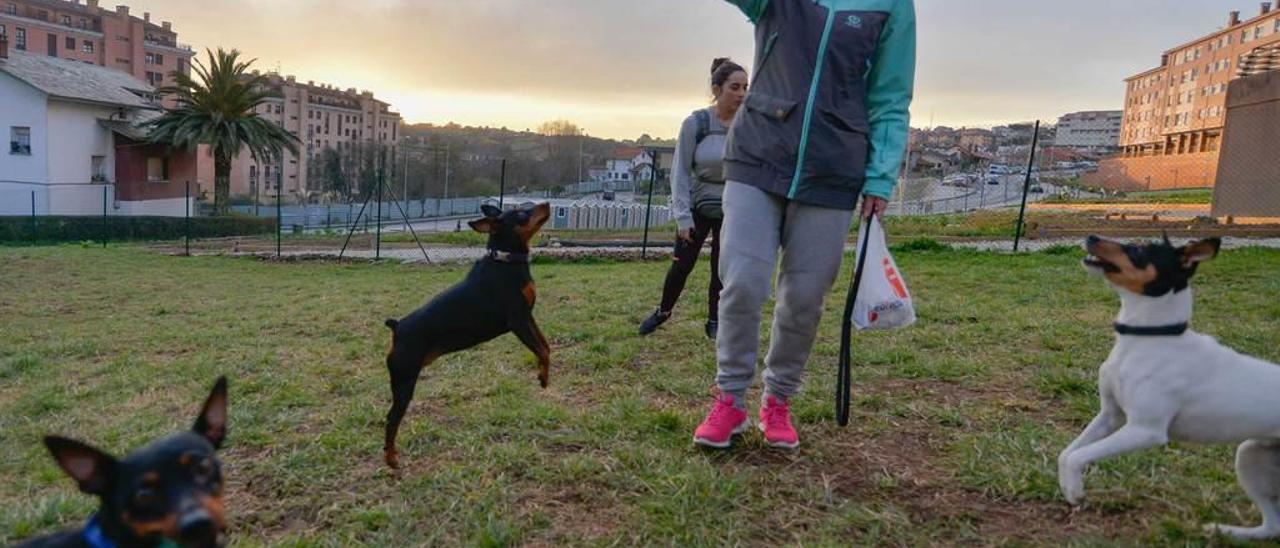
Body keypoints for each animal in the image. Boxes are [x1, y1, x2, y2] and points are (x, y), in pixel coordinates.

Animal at [384, 203, 555, 468]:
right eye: (520, 213)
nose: (546, 204)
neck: (505, 261)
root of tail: (397, 328)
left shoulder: (529, 317)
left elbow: (545, 346)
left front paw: (542, 374)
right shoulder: (517, 320)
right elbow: (543, 349)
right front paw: (543, 378)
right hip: (404, 381)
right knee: (391, 419)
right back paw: (391, 458)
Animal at [1054, 234, 1280, 540]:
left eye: (1138, 249)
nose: (1091, 236)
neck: (1150, 337)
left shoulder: (1144, 430)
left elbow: (1078, 456)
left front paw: (1076, 489)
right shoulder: (1110, 416)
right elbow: (1066, 454)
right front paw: (1069, 487)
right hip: (1250, 456)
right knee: (1272, 525)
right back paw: (1225, 531)